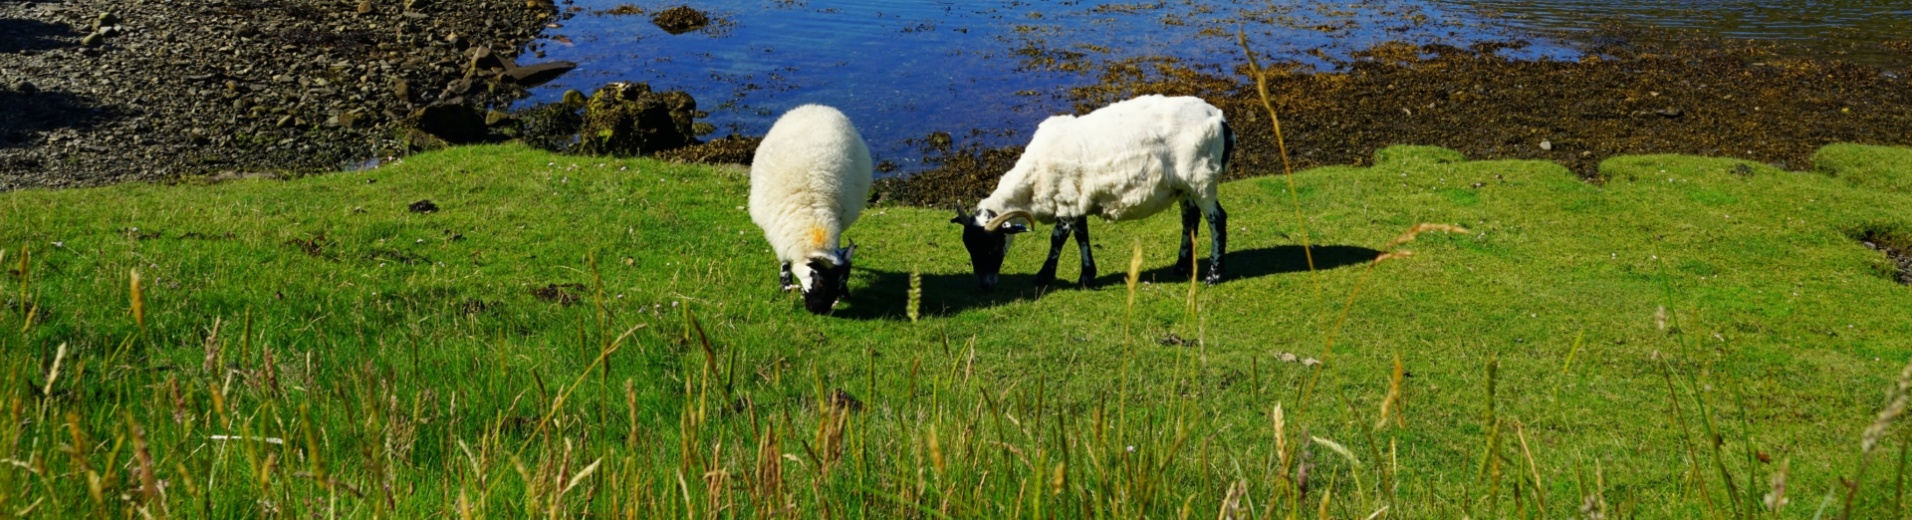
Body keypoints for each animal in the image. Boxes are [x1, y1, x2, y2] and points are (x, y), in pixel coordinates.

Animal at [745, 103, 875, 311]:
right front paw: (785, 284)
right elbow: (784, 256)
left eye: (841, 282)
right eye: (819, 280)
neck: (811, 219)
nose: (819, 310)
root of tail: (817, 106)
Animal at [948, 95, 1231, 290]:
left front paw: (1044, 276)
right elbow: (1081, 235)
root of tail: (1219, 117)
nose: (985, 286)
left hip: (1201, 177)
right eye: (969, 247)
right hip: (1183, 184)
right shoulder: (1076, 201)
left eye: (992, 246)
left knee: (1217, 220)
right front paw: (1086, 275)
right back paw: (1182, 266)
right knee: (1190, 218)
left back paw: (1214, 275)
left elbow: (1058, 238)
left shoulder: (1066, 201)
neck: (1033, 180)